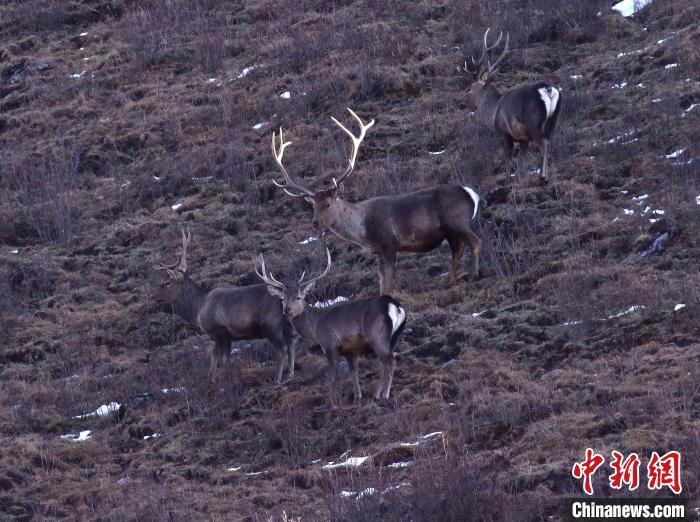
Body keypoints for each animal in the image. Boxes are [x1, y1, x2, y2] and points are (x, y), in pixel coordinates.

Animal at [153, 228, 296, 382]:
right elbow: (214, 356)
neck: (198, 310)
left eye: (167, 283)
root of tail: (283, 297)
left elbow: (225, 360)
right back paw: (290, 375)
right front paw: (212, 379)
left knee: (282, 351)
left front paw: (228, 381)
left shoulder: (221, 331)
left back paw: (277, 379)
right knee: (291, 348)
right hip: (288, 326)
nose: (153, 296)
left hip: (271, 325)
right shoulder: (216, 336)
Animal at [256, 246, 408, 404]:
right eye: (282, 298)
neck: (316, 327)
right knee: (386, 362)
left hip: (378, 335)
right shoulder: (351, 350)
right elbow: (353, 372)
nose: (286, 310)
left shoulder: (330, 344)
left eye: (298, 297)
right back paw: (376, 394)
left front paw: (333, 401)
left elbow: (332, 376)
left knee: (390, 362)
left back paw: (385, 395)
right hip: (394, 337)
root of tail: (395, 306)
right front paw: (357, 396)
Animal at [270, 106, 482, 294]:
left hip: (457, 220)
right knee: (458, 250)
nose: (315, 224)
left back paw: (473, 275)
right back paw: (449, 281)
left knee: (475, 242)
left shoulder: (389, 242)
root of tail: (471, 194)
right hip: (450, 230)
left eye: (328, 204)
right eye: (313, 206)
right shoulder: (378, 251)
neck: (362, 229)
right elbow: (381, 281)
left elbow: (388, 281)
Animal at [464, 29, 564, 179]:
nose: (464, 102)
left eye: (470, 88)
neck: (492, 111)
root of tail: (549, 90)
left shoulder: (504, 133)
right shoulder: (523, 138)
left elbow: (508, 159)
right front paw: (522, 178)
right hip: (552, 121)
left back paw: (543, 176)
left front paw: (508, 179)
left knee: (544, 145)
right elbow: (522, 161)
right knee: (549, 142)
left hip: (534, 122)